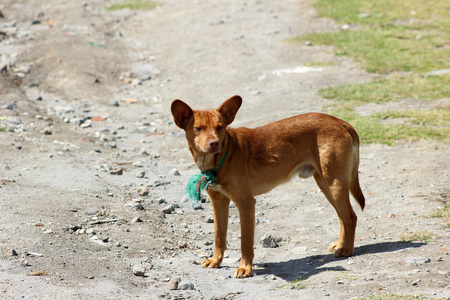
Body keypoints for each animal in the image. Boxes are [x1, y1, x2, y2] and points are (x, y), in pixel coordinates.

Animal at [171, 95, 364, 278]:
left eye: (220, 127)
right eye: (198, 128)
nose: (214, 143)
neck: (222, 158)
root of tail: (340, 121)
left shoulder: (246, 203)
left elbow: (245, 242)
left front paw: (245, 268)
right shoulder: (219, 202)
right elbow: (219, 236)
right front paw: (216, 260)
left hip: (334, 184)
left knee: (350, 217)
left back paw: (347, 250)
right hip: (325, 183)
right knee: (342, 217)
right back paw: (340, 245)